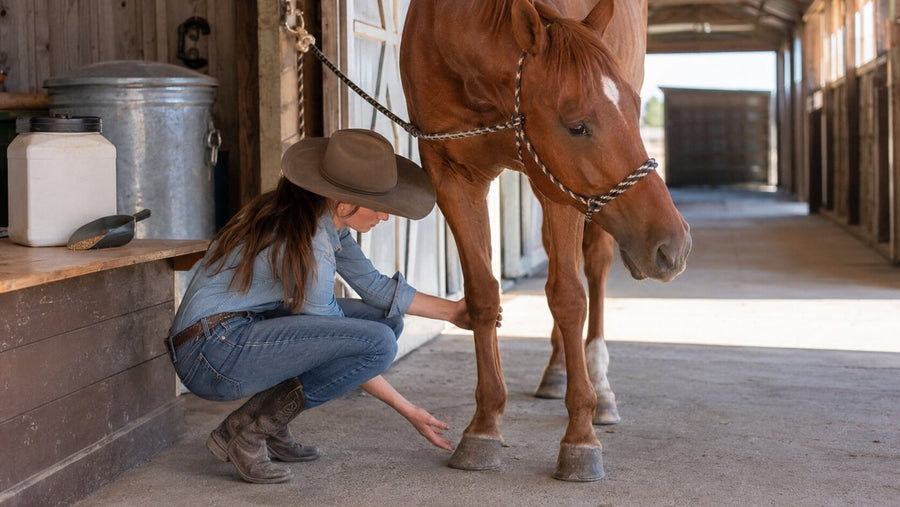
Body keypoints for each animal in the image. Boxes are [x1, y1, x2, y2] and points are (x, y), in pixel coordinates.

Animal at [400, 0, 691, 481]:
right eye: (576, 127)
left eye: (635, 108)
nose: (676, 245)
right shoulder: (454, 177)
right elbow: (483, 297)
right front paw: (483, 427)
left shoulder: (561, 191)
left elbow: (570, 297)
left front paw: (581, 438)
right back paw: (556, 372)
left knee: (592, 267)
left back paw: (600, 388)